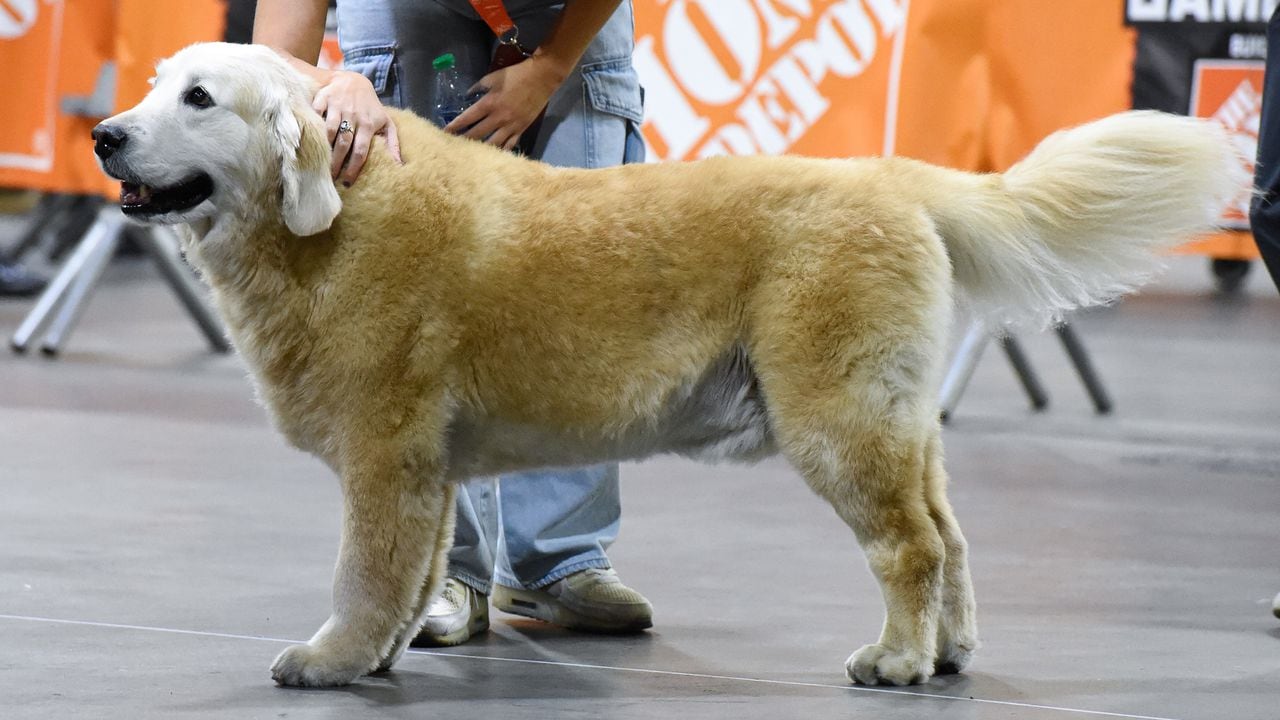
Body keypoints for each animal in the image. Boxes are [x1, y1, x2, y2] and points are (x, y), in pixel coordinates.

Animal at [90, 43, 1239, 681]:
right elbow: (413, 578)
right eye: (149, 88)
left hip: (838, 421)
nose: (102, 134)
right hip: (896, 424)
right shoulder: (426, 474)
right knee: (949, 538)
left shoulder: (386, 455)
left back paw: (901, 660)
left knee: (909, 547)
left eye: (198, 99)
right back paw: (950, 651)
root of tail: (889, 175)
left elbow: (365, 573)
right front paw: (376, 655)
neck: (328, 217)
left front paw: (329, 660)